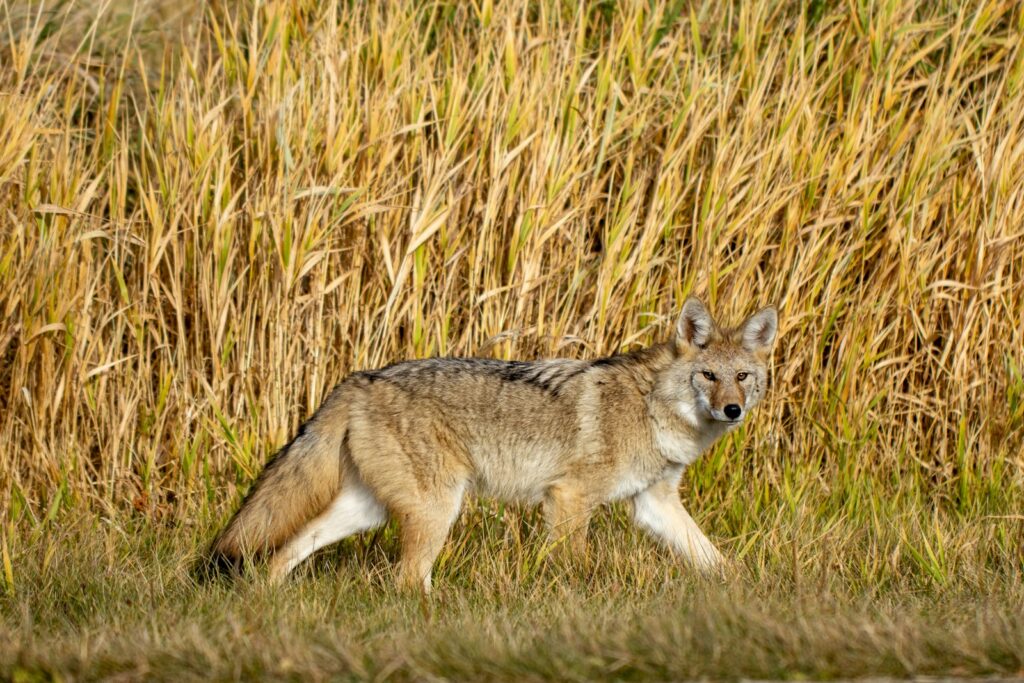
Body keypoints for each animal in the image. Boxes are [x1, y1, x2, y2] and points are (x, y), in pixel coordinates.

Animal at [210, 296, 778, 591]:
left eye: (742, 377)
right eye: (708, 376)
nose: (732, 410)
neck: (653, 408)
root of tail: (357, 379)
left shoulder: (654, 503)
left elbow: (714, 559)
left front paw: (746, 596)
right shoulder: (569, 498)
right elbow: (577, 568)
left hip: (368, 510)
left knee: (288, 550)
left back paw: (267, 597)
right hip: (436, 509)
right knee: (406, 580)